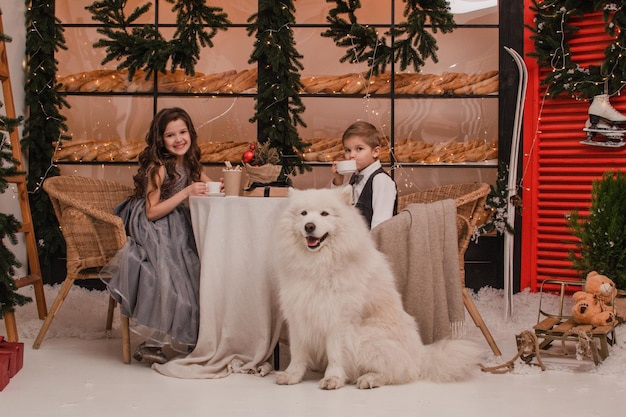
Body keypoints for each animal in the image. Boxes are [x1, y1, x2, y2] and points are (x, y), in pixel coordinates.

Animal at [272, 187, 478, 388]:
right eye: (303, 213)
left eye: (324, 213)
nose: (309, 226)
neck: (318, 264)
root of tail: (421, 354)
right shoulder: (298, 315)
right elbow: (298, 353)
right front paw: (291, 375)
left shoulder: (338, 319)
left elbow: (336, 354)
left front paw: (333, 379)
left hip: (367, 338)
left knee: (401, 371)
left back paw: (369, 379)